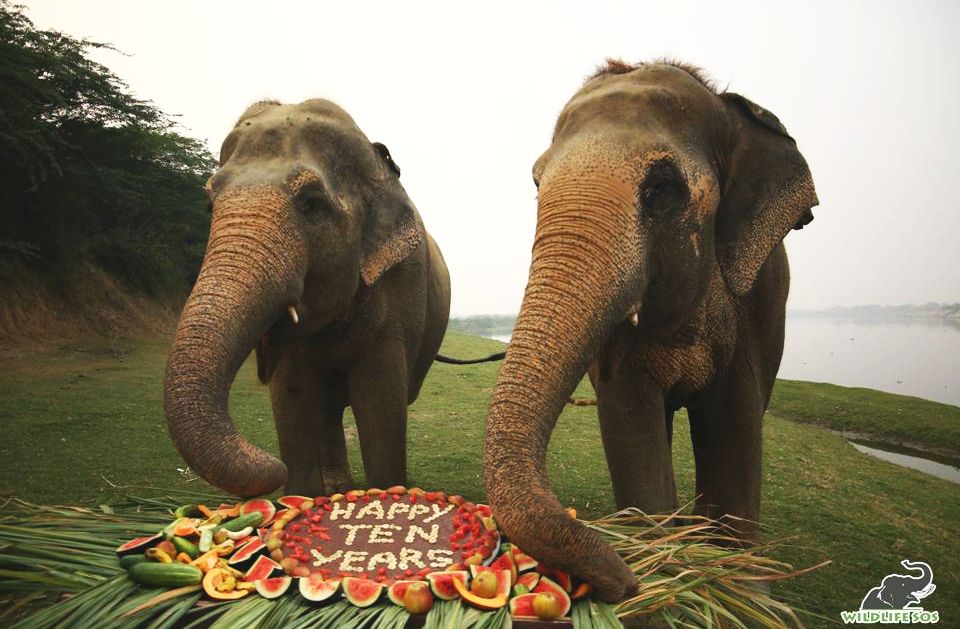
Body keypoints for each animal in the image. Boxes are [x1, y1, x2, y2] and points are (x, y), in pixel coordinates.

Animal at [165, 98, 450, 498]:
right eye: (209, 206)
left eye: (312, 204)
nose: (272, 465)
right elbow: (292, 393)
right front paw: (302, 498)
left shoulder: (403, 286)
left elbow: (379, 397)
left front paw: (385, 495)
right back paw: (337, 487)